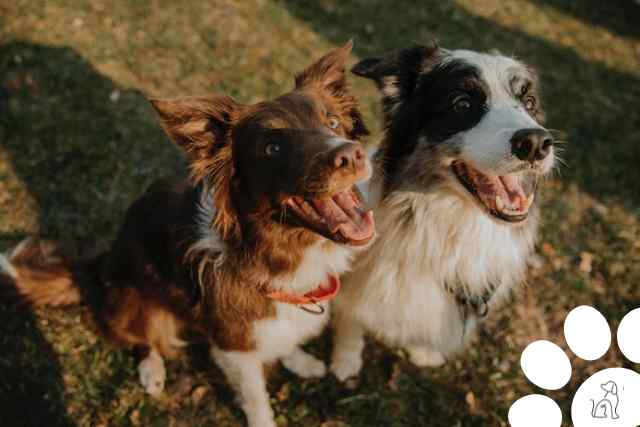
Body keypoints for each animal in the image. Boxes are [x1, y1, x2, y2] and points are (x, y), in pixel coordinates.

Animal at [0, 42, 372, 427]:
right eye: (273, 147)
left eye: (333, 122)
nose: (352, 155)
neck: (277, 254)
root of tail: (97, 266)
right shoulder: (232, 345)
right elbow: (256, 397)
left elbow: (286, 338)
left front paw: (300, 360)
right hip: (133, 301)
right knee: (141, 337)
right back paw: (151, 369)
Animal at [330, 41, 556, 380]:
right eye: (462, 103)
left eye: (529, 102)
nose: (536, 143)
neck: (455, 218)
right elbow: (351, 316)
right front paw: (345, 362)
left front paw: (424, 352)